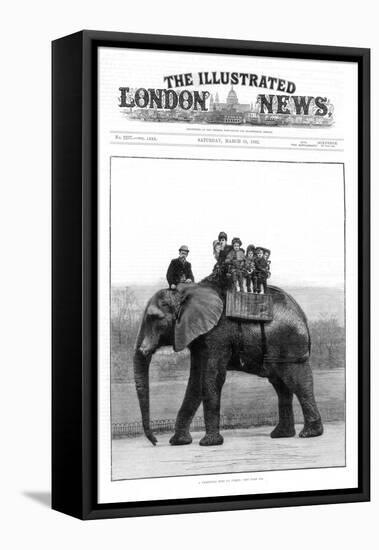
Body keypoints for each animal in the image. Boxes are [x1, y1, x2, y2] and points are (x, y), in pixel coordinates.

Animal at [134, 282, 324, 446]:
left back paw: (309, 434)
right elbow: (195, 381)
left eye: (154, 318)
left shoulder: (216, 336)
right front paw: (178, 442)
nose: (155, 442)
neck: (186, 293)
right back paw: (281, 435)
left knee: (297, 380)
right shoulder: (199, 337)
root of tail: (303, 316)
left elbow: (211, 378)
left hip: (289, 341)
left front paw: (208, 443)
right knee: (281, 385)